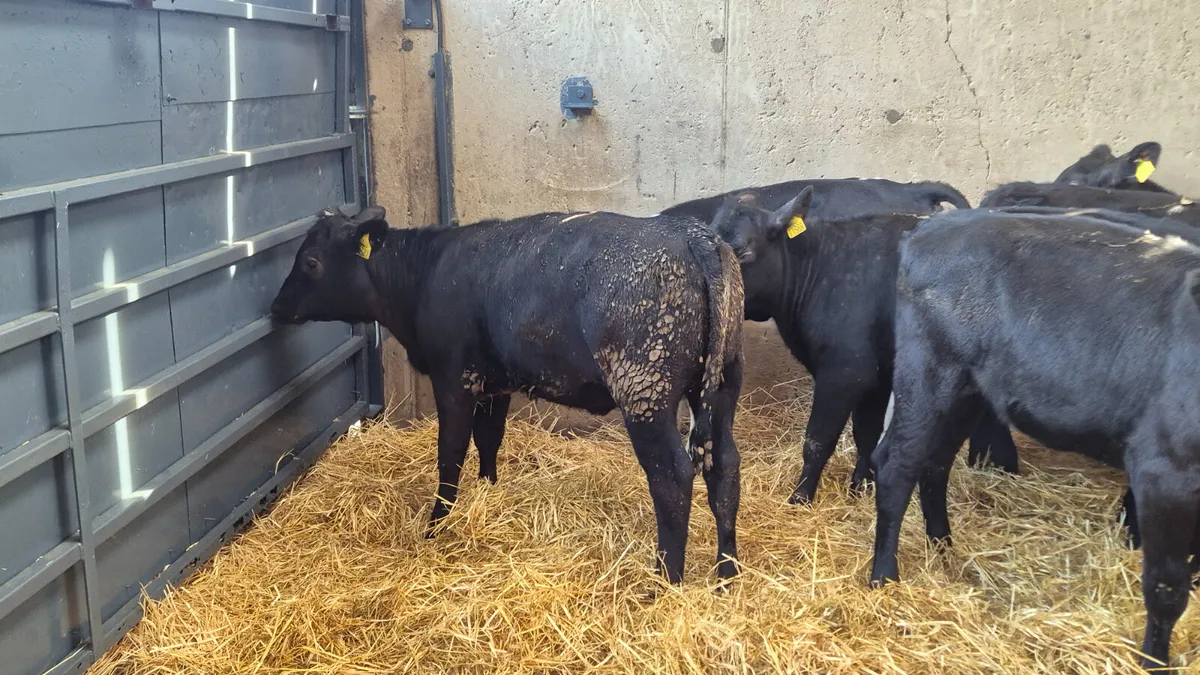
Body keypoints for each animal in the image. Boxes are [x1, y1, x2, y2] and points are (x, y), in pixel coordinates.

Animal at [270, 205, 746, 583]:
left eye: (310, 262)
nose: (275, 308)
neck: (426, 273)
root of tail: (693, 235)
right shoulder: (494, 383)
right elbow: (488, 439)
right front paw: (488, 490)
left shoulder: (453, 378)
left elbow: (450, 453)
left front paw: (435, 526)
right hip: (723, 383)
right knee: (724, 465)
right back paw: (726, 573)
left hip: (646, 389)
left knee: (673, 477)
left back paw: (665, 581)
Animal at [704, 186, 1017, 507]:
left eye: (744, 253)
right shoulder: (877, 376)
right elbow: (866, 432)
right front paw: (860, 485)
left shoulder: (844, 373)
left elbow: (818, 439)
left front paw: (801, 496)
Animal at [868, 208, 1200, 669]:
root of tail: (937, 223)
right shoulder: (1165, 469)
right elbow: (1167, 585)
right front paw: (1153, 663)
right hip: (930, 372)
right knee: (896, 465)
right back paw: (884, 577)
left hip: (970, 390)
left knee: (934, 465)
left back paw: (945, 550)